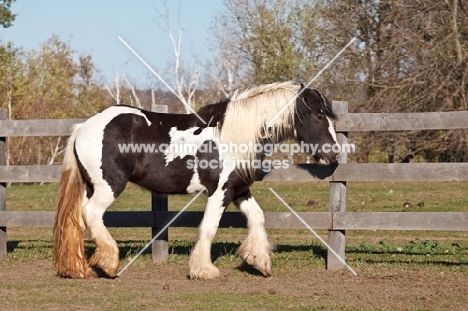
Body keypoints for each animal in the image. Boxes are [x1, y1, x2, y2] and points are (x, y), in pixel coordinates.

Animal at [54, 80, 340, 280]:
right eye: (319, 115)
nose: (334, 154)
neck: (233, 135)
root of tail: (83, 127)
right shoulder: (219, 191)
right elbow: (209, 227)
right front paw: (204, 270)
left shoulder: (238, 190)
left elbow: (257, 217)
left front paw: (259, 261)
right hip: (108, 186)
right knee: (91, 214)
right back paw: (110, 263)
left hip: (91, 186)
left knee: (77, 221)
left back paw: (80, 269)